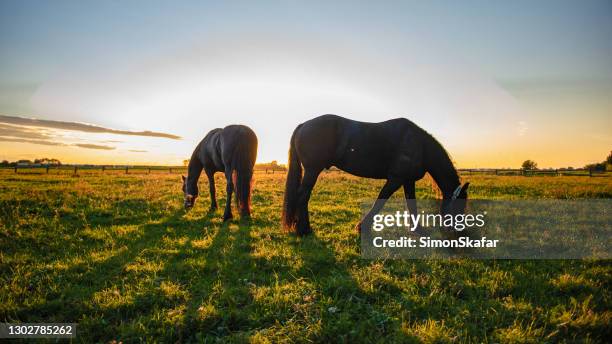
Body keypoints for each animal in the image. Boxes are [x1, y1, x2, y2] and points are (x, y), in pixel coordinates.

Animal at [280, 114, 468, 235]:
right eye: (460, 206)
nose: (460, 233)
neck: (419, 145)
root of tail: (303, 125)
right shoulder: (395, 179)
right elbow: (381, 200)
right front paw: (362, 227)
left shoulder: (408, 181)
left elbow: (411, 204)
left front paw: (417, 229)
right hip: (312, 170)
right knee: (302, 196)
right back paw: (304, 230)